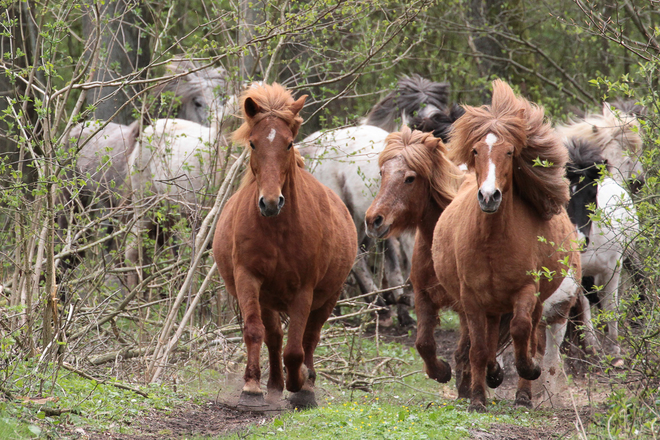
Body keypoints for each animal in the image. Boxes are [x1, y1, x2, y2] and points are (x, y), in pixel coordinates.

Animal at [430, 80, 580, 412]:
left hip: (536, 302)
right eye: (475, 150)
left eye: (510, 151)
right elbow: (478, 347)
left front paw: (528, 372)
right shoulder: (472, 298)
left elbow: (521, 331)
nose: (489, 196)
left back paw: (524, 391)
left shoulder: (526, 291)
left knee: (531, 335)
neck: (492, 242)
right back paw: (492, 374)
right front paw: (477, 398)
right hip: (491, 305)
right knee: (487, 342)